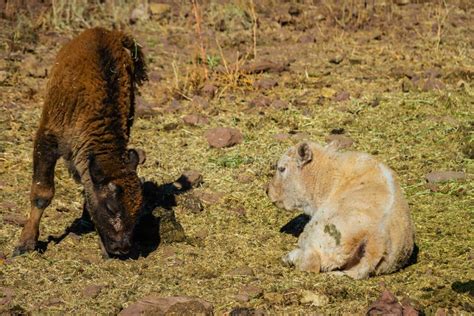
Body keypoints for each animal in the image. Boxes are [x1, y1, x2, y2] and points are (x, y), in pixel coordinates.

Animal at [13, 27, 147, 256]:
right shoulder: (47, 140)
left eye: (138, 209)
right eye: (111, 207)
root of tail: (105, 32)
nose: (122, 247)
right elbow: (42, 193)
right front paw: (25, 244)